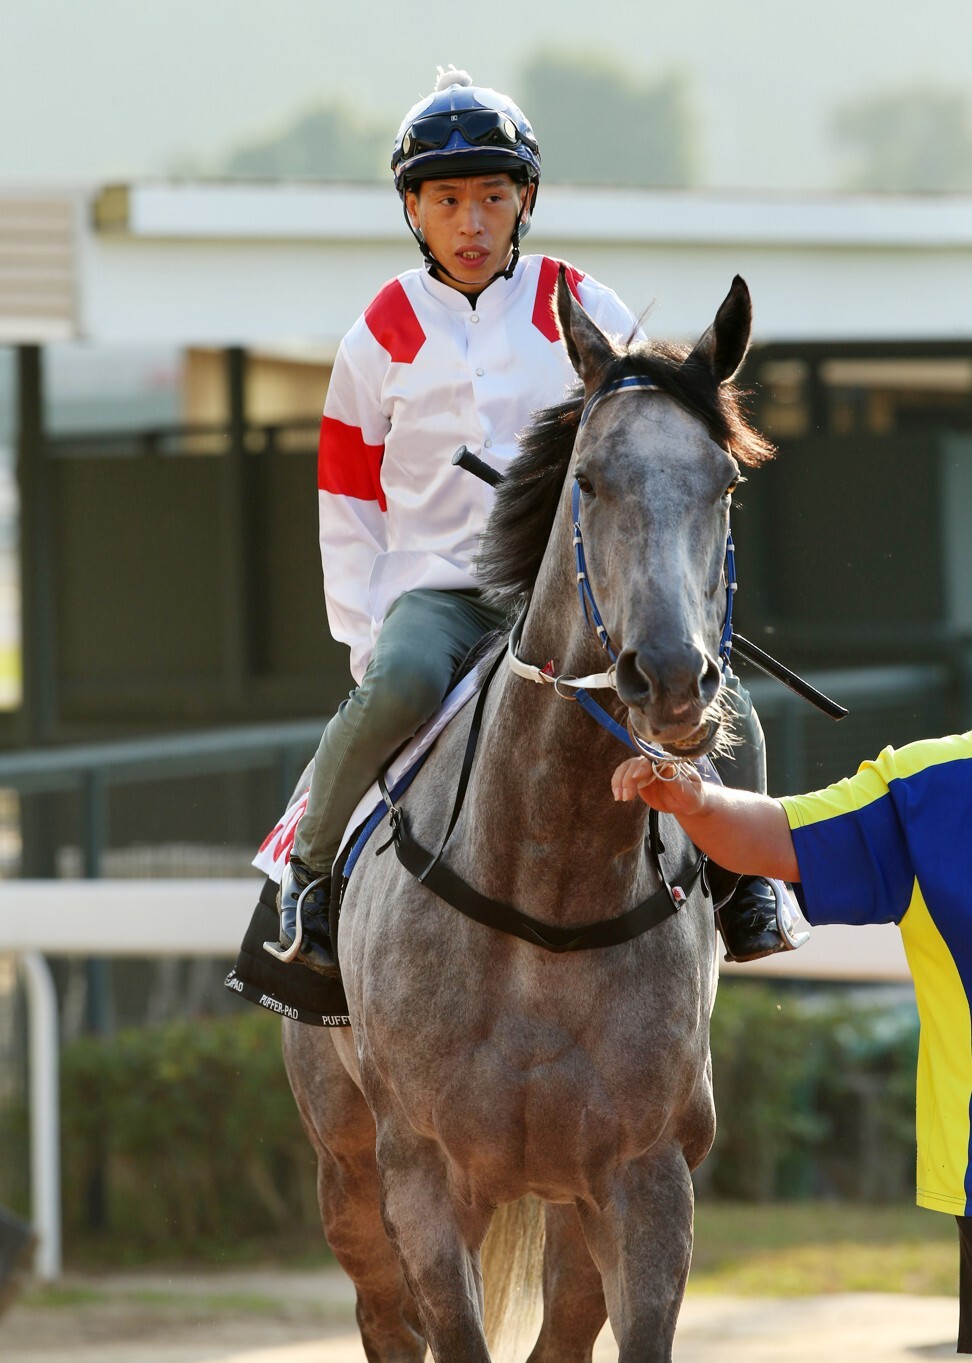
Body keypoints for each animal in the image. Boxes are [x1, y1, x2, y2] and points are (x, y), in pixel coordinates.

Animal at [280, 271, 774, 1357]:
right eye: (587, 480)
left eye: (725, 484)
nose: (670, 678)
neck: (548, 888)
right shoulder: (425, 1176)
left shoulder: (644, 1174)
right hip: (343, 1163)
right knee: (382, 1316)